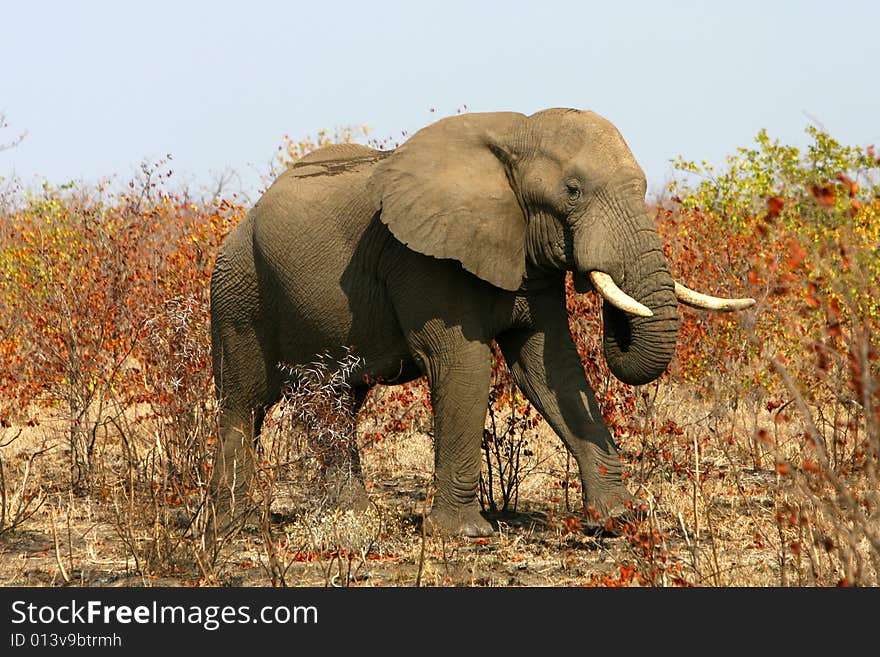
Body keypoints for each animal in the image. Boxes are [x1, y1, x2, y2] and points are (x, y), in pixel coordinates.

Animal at [205, 109, 748, 540]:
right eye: (572, 192)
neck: (514, 137)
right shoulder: (423, 259)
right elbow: (461, 365)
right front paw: (464, 534)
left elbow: (551, 368)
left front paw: (618, 520)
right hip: (237, 291)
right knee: (244, 403)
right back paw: (234, 526)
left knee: (337, 402)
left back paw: (355, 519)